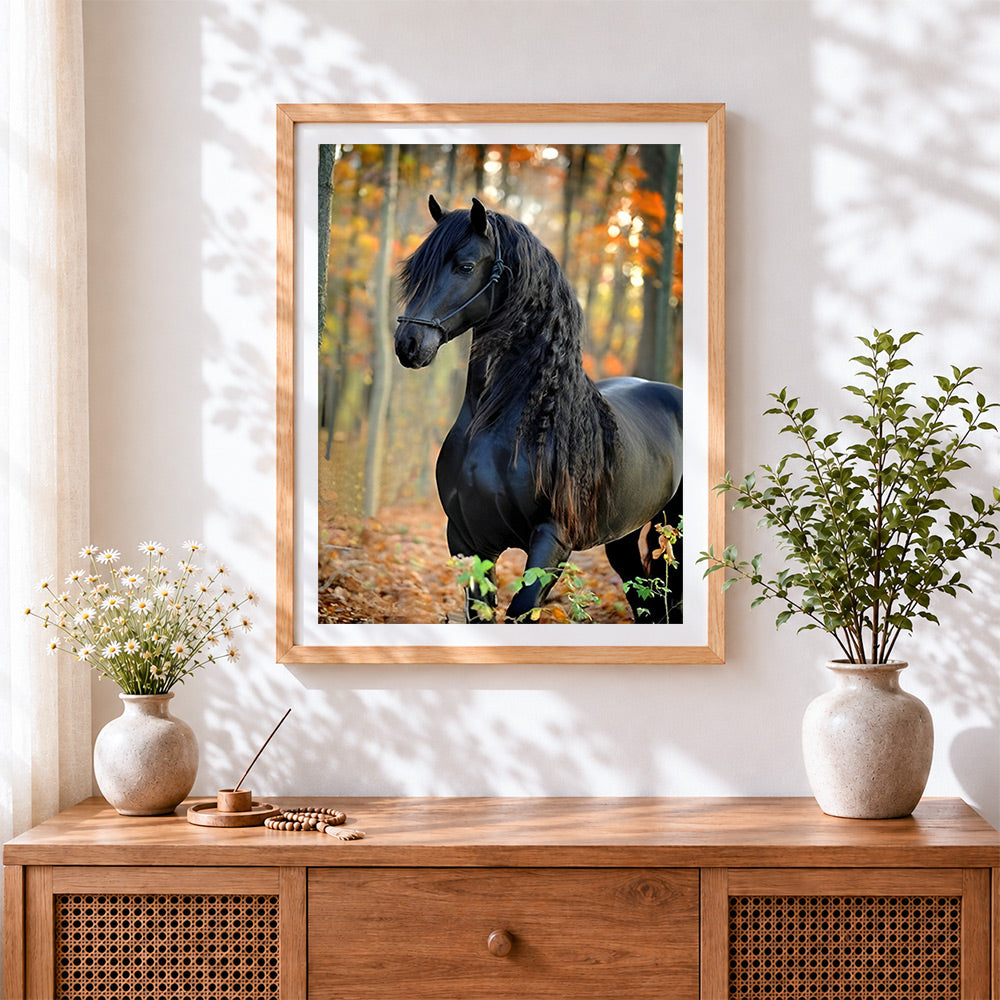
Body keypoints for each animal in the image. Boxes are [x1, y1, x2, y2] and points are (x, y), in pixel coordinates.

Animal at [394, 196, 683, 624]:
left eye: (465, 266)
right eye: (415, 269)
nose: (408, 343)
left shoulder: (552, 540)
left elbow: (521, 608)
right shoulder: (466, 540)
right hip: (624, 536)